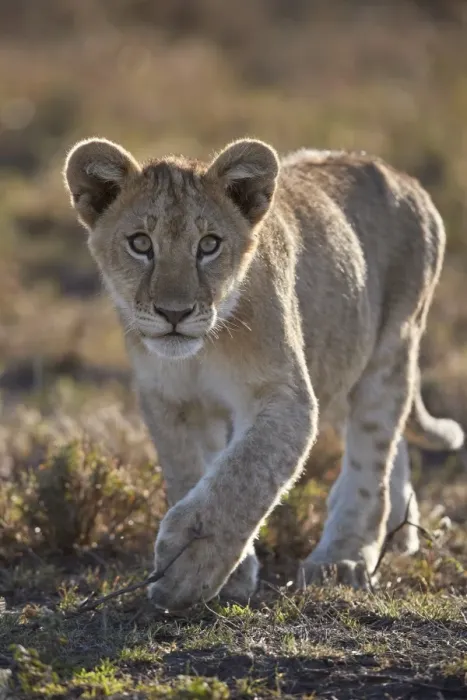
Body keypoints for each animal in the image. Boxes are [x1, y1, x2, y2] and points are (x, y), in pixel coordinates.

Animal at [64, 137, 463, 610]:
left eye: (209, 245)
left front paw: (186, 566)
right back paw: (398, 534)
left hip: (392, 348)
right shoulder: (170, 400)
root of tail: (401, 174)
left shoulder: (285, 394)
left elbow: (245, 474)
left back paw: (343, 559)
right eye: (141, 243)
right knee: (390, 442)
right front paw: (229, 573)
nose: (174, 313)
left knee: (372, 458)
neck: (201, 350)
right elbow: (191, 472)